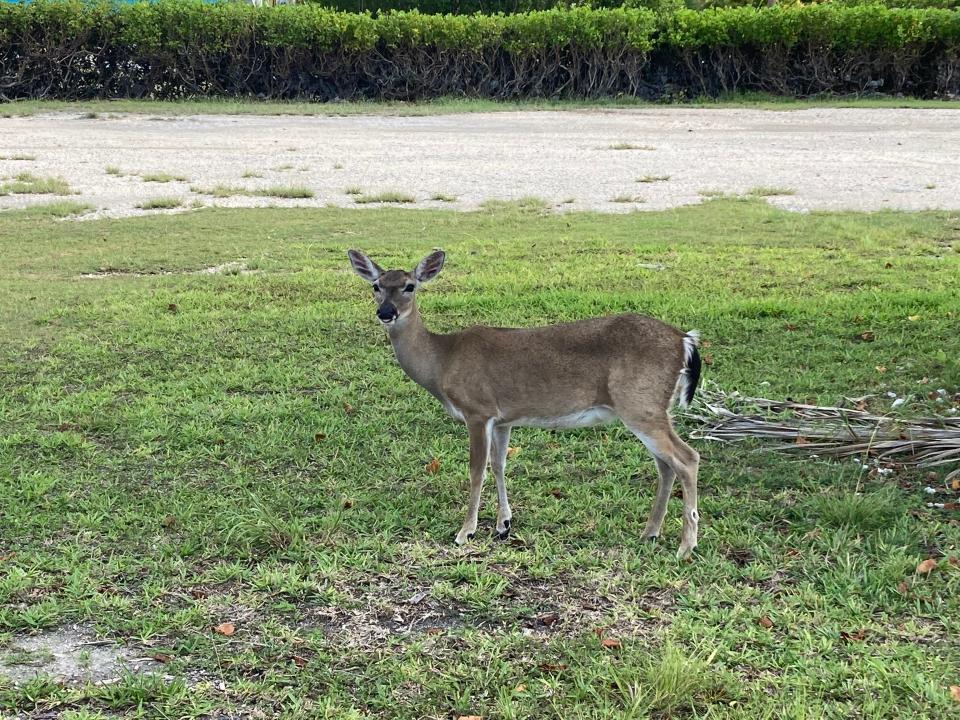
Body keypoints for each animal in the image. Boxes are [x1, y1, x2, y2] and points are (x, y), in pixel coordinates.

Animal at [348, 250, 700, 560]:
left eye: (410, 285)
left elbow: (476, 469)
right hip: (651, 408)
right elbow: (499, 464)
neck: (442, 360)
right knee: (665, 465)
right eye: (376, 286)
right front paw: (503, 524)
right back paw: (650, 533)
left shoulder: (477, 409)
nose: (386, 313)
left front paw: (465, 532)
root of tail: (685, 340)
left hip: (640, 403)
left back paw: (685, 547)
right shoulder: (503, 418)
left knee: (687, 458)